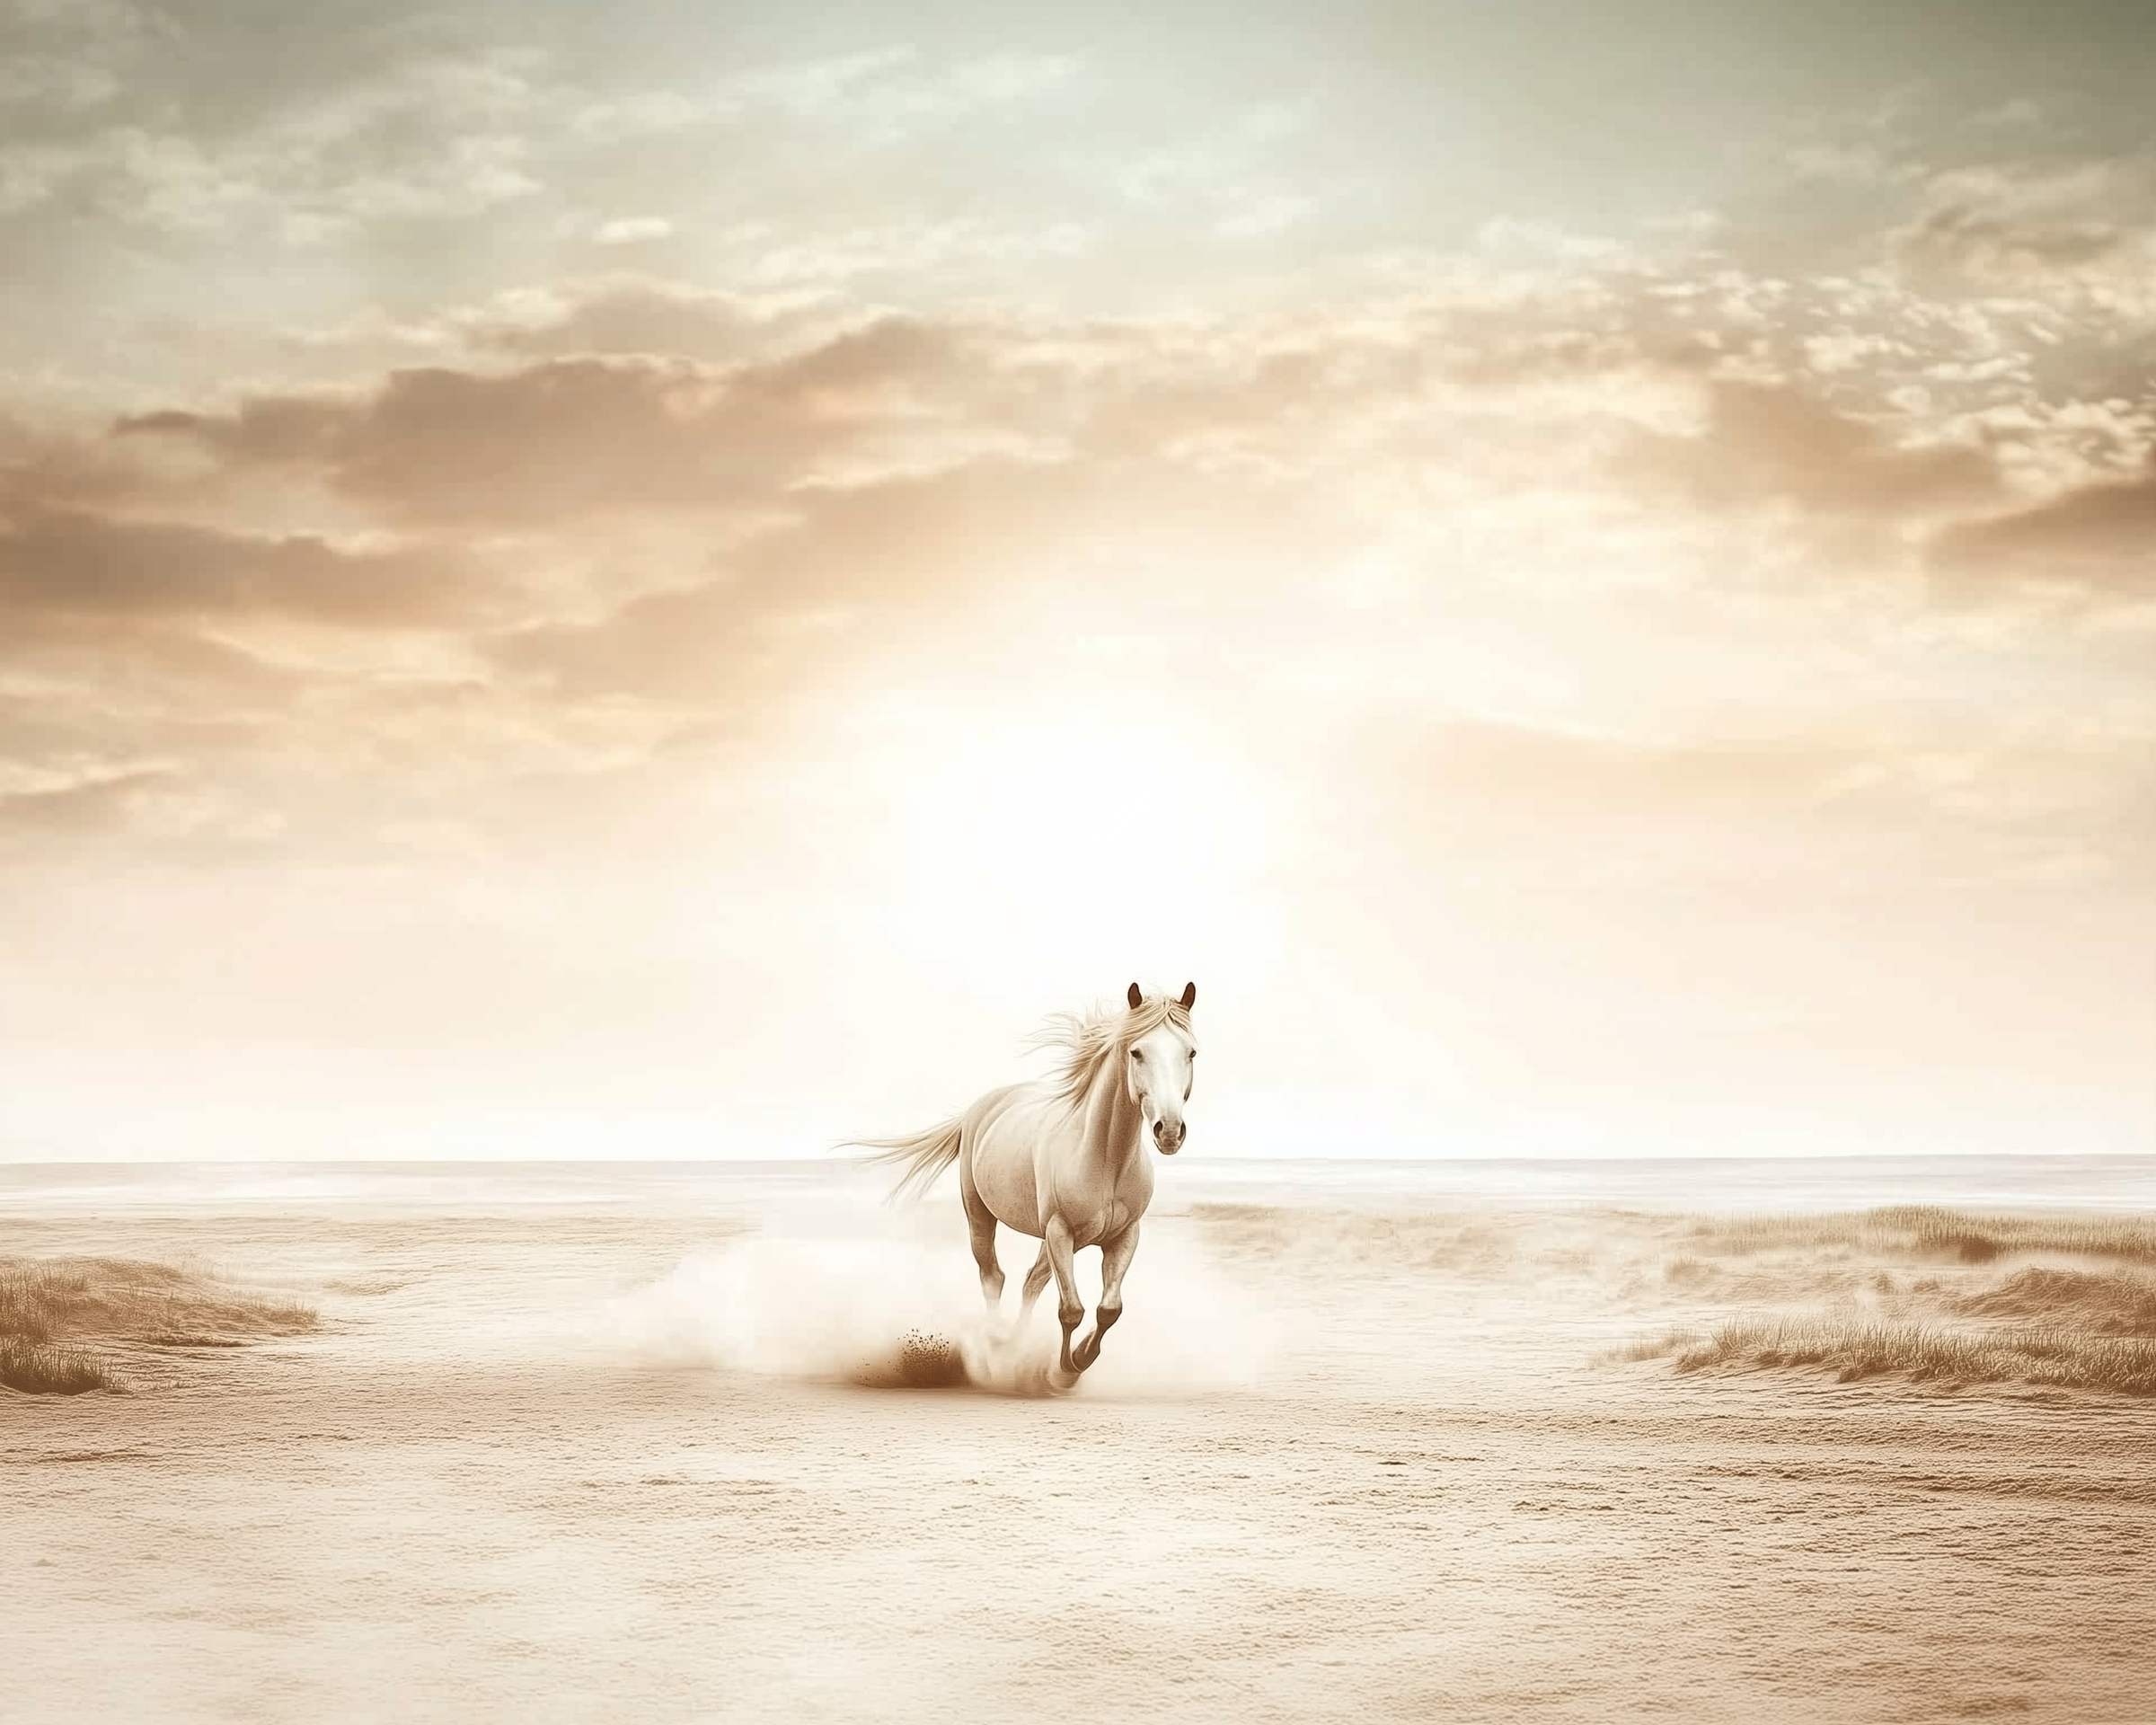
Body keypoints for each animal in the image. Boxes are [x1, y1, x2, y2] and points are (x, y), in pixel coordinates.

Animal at [847, 981, 1199, 1389]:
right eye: (1137, 1052)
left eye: (1191, 1052)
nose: (1169, 1131)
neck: (1104, 1157)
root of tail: (980, 1107)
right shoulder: (1060, 1231)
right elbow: (1071, 1309)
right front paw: (1063, 1371)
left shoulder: (1123, 1236)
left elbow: (1109, 1309)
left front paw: (1080, 1357)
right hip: (983, 1217)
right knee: (993, 1277)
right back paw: (997, 1347)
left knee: (1032, 1281)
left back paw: (1016, 1344)